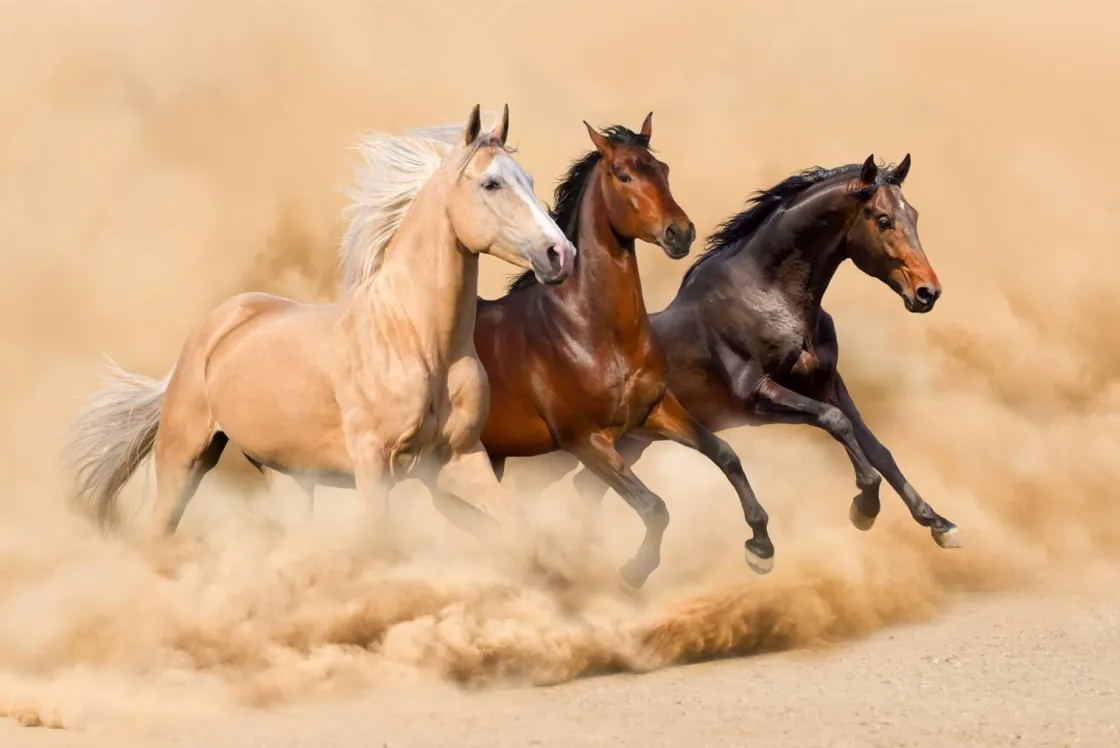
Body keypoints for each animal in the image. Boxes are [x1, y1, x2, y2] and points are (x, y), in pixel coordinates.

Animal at [63, 104, 577, 544]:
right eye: (491, 184)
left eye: (529, 179)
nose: (560, 254)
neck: (418, 341)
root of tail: (216, 326)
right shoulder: (374, 464)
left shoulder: (461, 460)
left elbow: (515, 523)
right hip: (184, 457)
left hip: (288, 477)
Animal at [562, 154, 962, 563]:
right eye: (883, 219)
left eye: (913, 215)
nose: (927, 293)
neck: (769, 296)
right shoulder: (758, 395)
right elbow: (836, 423)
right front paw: (864, 507)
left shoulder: (827, 383)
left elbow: (877, 449)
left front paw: (939, 523)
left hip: (632, 442)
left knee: (587, 485)